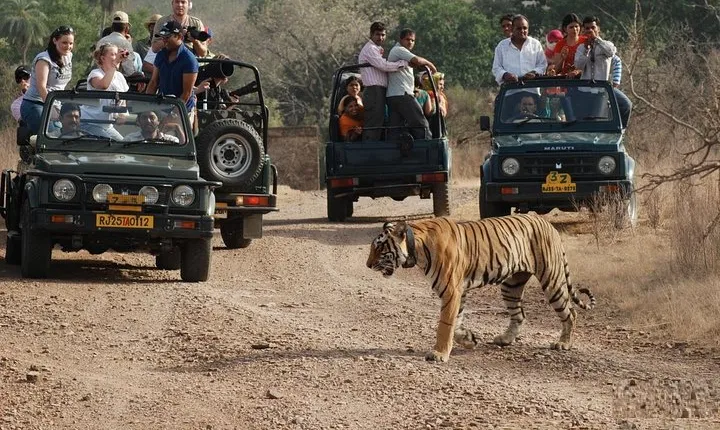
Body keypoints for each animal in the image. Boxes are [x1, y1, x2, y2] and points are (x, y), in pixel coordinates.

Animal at [366, 214, 595, 363]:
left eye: (379, 247)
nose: (367, 265)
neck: (417, 248)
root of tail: (548, 223)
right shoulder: (459, 291)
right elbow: (456, 323)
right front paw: (469, 340)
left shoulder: (451, 290)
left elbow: (445, 324)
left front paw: (439, 354)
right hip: (511, 285)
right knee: (519, 314)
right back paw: (505, 339)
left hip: (551, 279)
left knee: (570, 313)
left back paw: (563, 343)